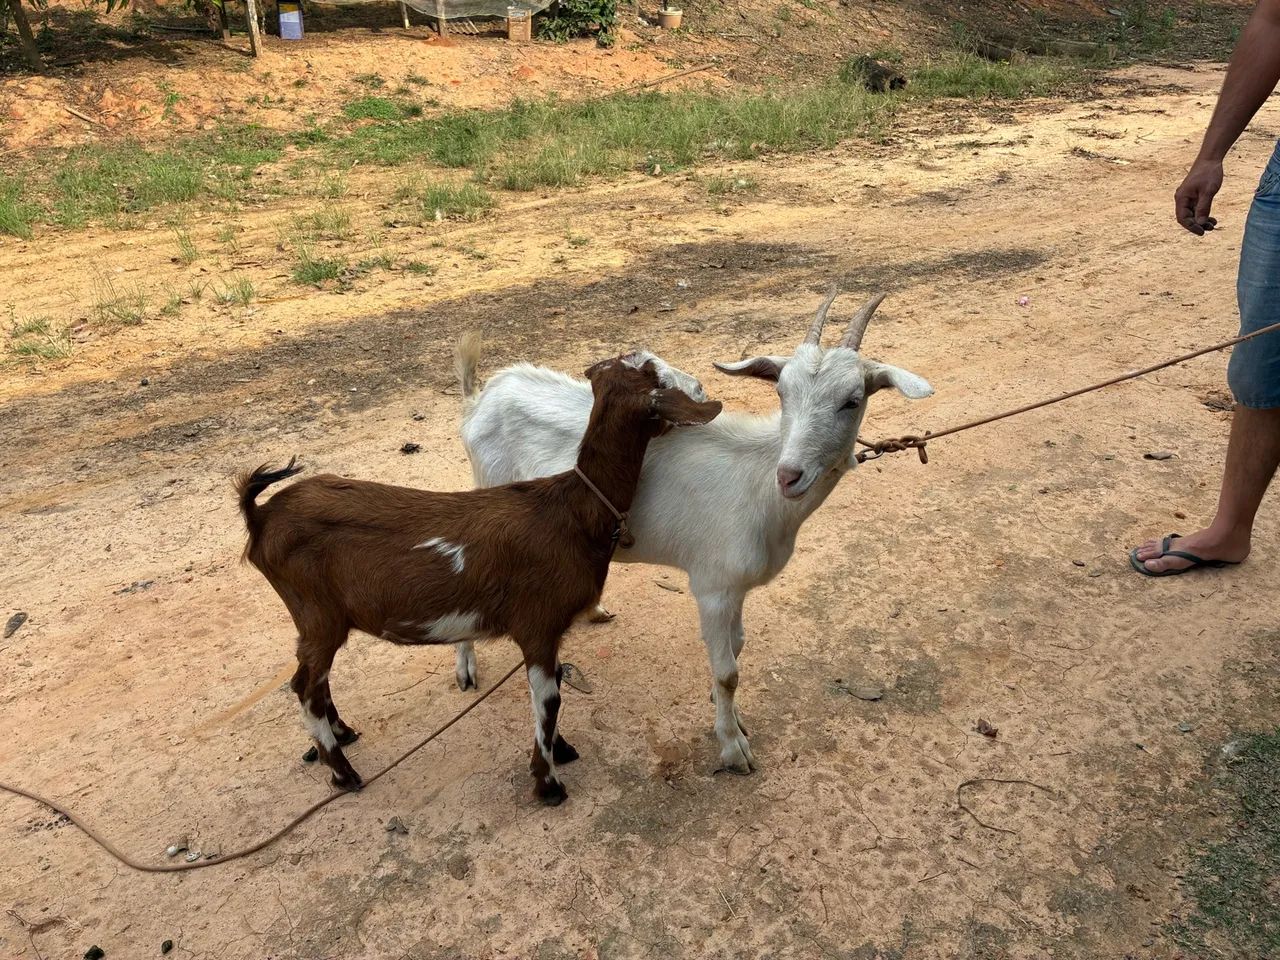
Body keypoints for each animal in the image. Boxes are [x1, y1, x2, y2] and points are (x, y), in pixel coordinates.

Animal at [237, 352, 722, 804]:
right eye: (657, 375)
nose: (702, 389)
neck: (572, 510)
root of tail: (260, 516)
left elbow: (553, 689)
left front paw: (561, 750)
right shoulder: (538, 624)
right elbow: (548, 699)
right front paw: (548, 782)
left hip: (319, 620)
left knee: (316, 682)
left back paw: (343, 733)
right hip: (316, 613)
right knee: (304, 685)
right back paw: (343, 772)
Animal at [456, 290, 932, 773]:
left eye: (852, 400)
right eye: (781, 392)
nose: (789, 476)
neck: (760, 486)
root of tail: (481, 396)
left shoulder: (735, 588)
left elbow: (738, 647)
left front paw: (731, 718)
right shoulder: (713, 587)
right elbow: (728, 673)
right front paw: (733, 748)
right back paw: (466, 670)